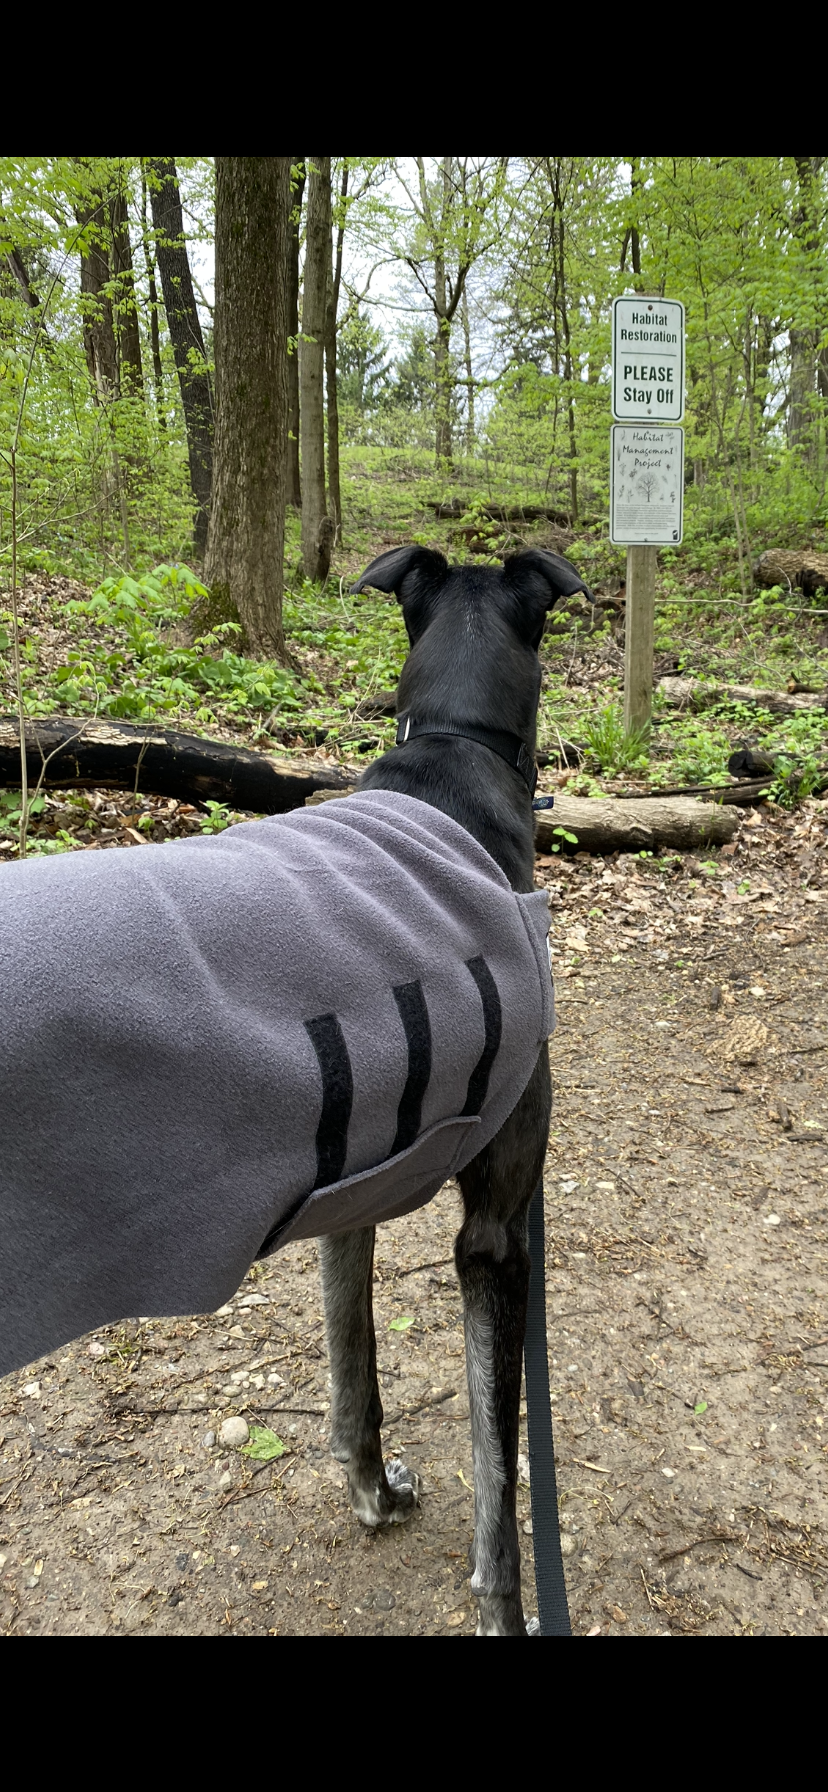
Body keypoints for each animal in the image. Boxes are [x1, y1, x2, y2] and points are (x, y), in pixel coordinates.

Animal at [313, 548, 591, 1641]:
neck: (451, 751)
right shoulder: (499, 1238)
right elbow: (501, 1481)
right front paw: (506, 1612)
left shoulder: (349, 1197)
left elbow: (355, 1377)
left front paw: (373, 1496)